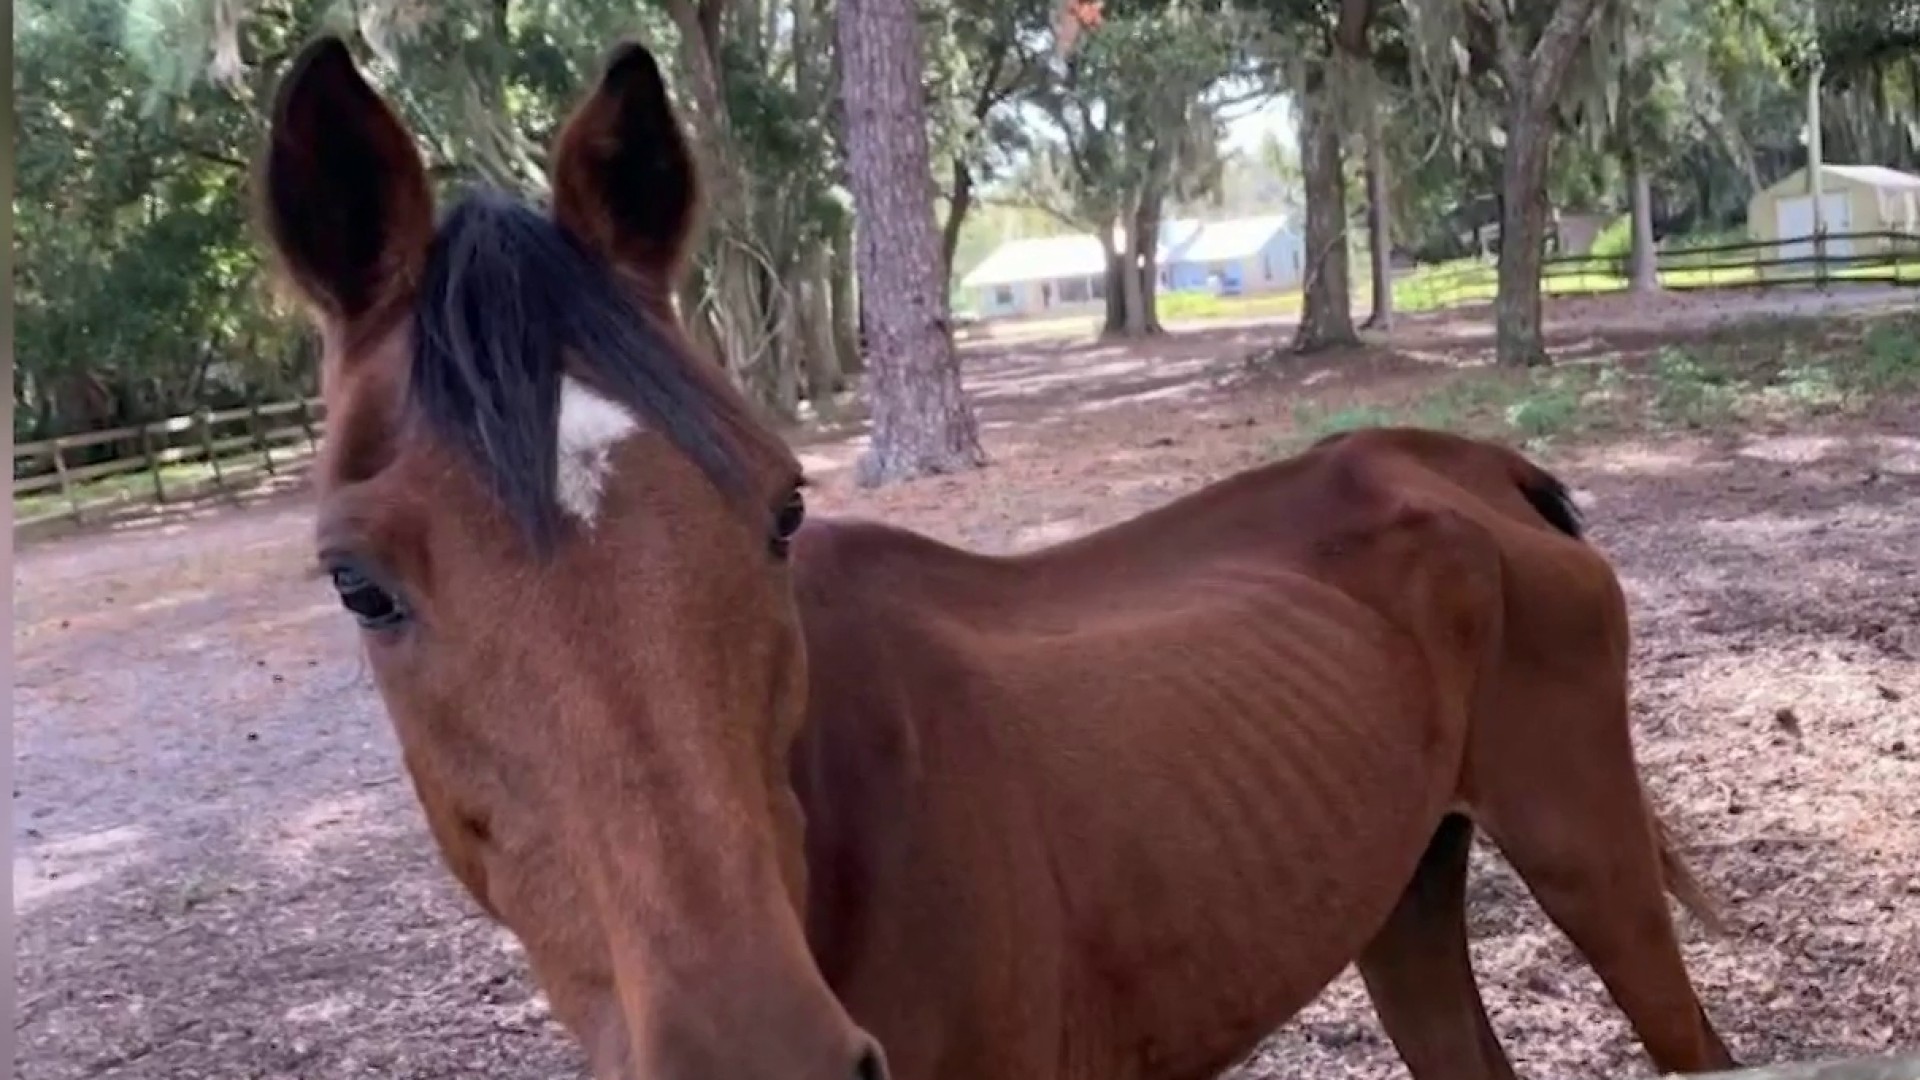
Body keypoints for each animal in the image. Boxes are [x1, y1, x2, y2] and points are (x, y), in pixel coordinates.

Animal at [255, 33, 1743, 1076]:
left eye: (780, 510)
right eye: (359, 584)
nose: (764, 1061)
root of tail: (1474, 466)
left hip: (1588, 855)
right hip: (1405, 892)